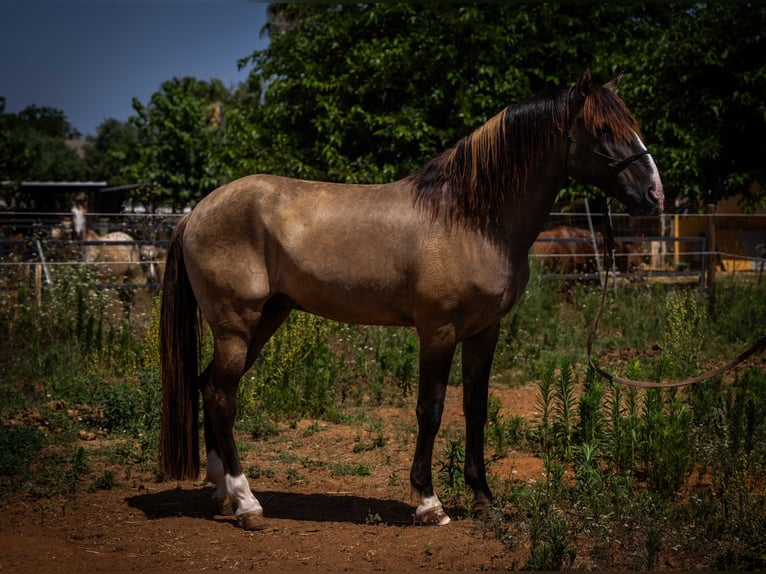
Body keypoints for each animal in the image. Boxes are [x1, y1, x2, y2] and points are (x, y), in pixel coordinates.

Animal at [159, 68, 664, 530]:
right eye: (603, 130)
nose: (654, 195)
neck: (471, 217)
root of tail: (196, 213)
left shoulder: (484, 332)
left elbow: (476, 409)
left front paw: (483, 498)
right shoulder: (437, 331)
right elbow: (431, 409)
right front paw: (429, 502)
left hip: (265, 320)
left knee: (207, 386)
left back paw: (223, 493)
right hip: (236, 325)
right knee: (222, 398)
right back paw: (248, 505)